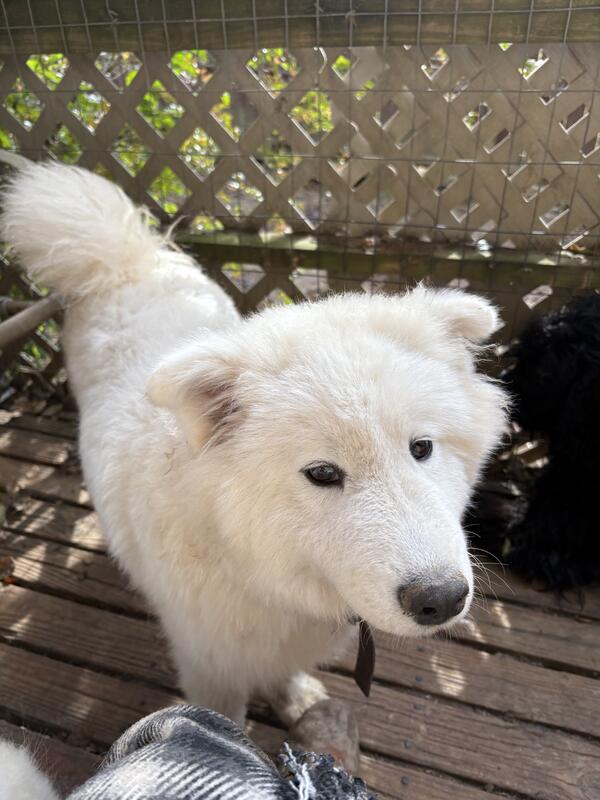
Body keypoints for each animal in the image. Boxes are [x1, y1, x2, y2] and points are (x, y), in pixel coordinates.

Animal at [1, 162, 507, 729]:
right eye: (322, 473)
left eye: (422, 448)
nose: (441, 598)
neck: (251, 566)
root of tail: (126, 261)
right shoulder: (211, 664)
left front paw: (296, 699)